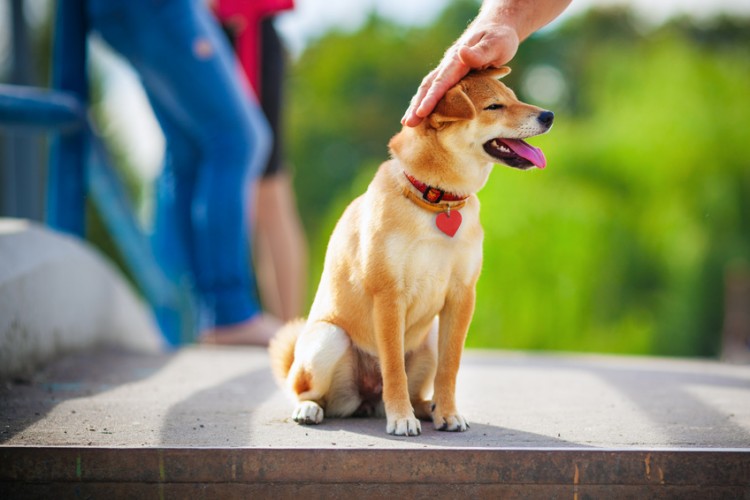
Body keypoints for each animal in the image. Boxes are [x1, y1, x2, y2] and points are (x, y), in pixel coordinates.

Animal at [268, 68, 552, 436]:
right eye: (494, 106)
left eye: (515, 98)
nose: (549, 115)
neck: (438, 201)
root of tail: (366, 400)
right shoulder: (389, 295)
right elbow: (393, 369)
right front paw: (401, 417)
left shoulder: (462, 294)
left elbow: (450, 367)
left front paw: (447, 412)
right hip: (328, 339)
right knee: (305, 390)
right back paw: (310, 408)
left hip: (427, 340)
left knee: (416, 386)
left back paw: (426, 407)